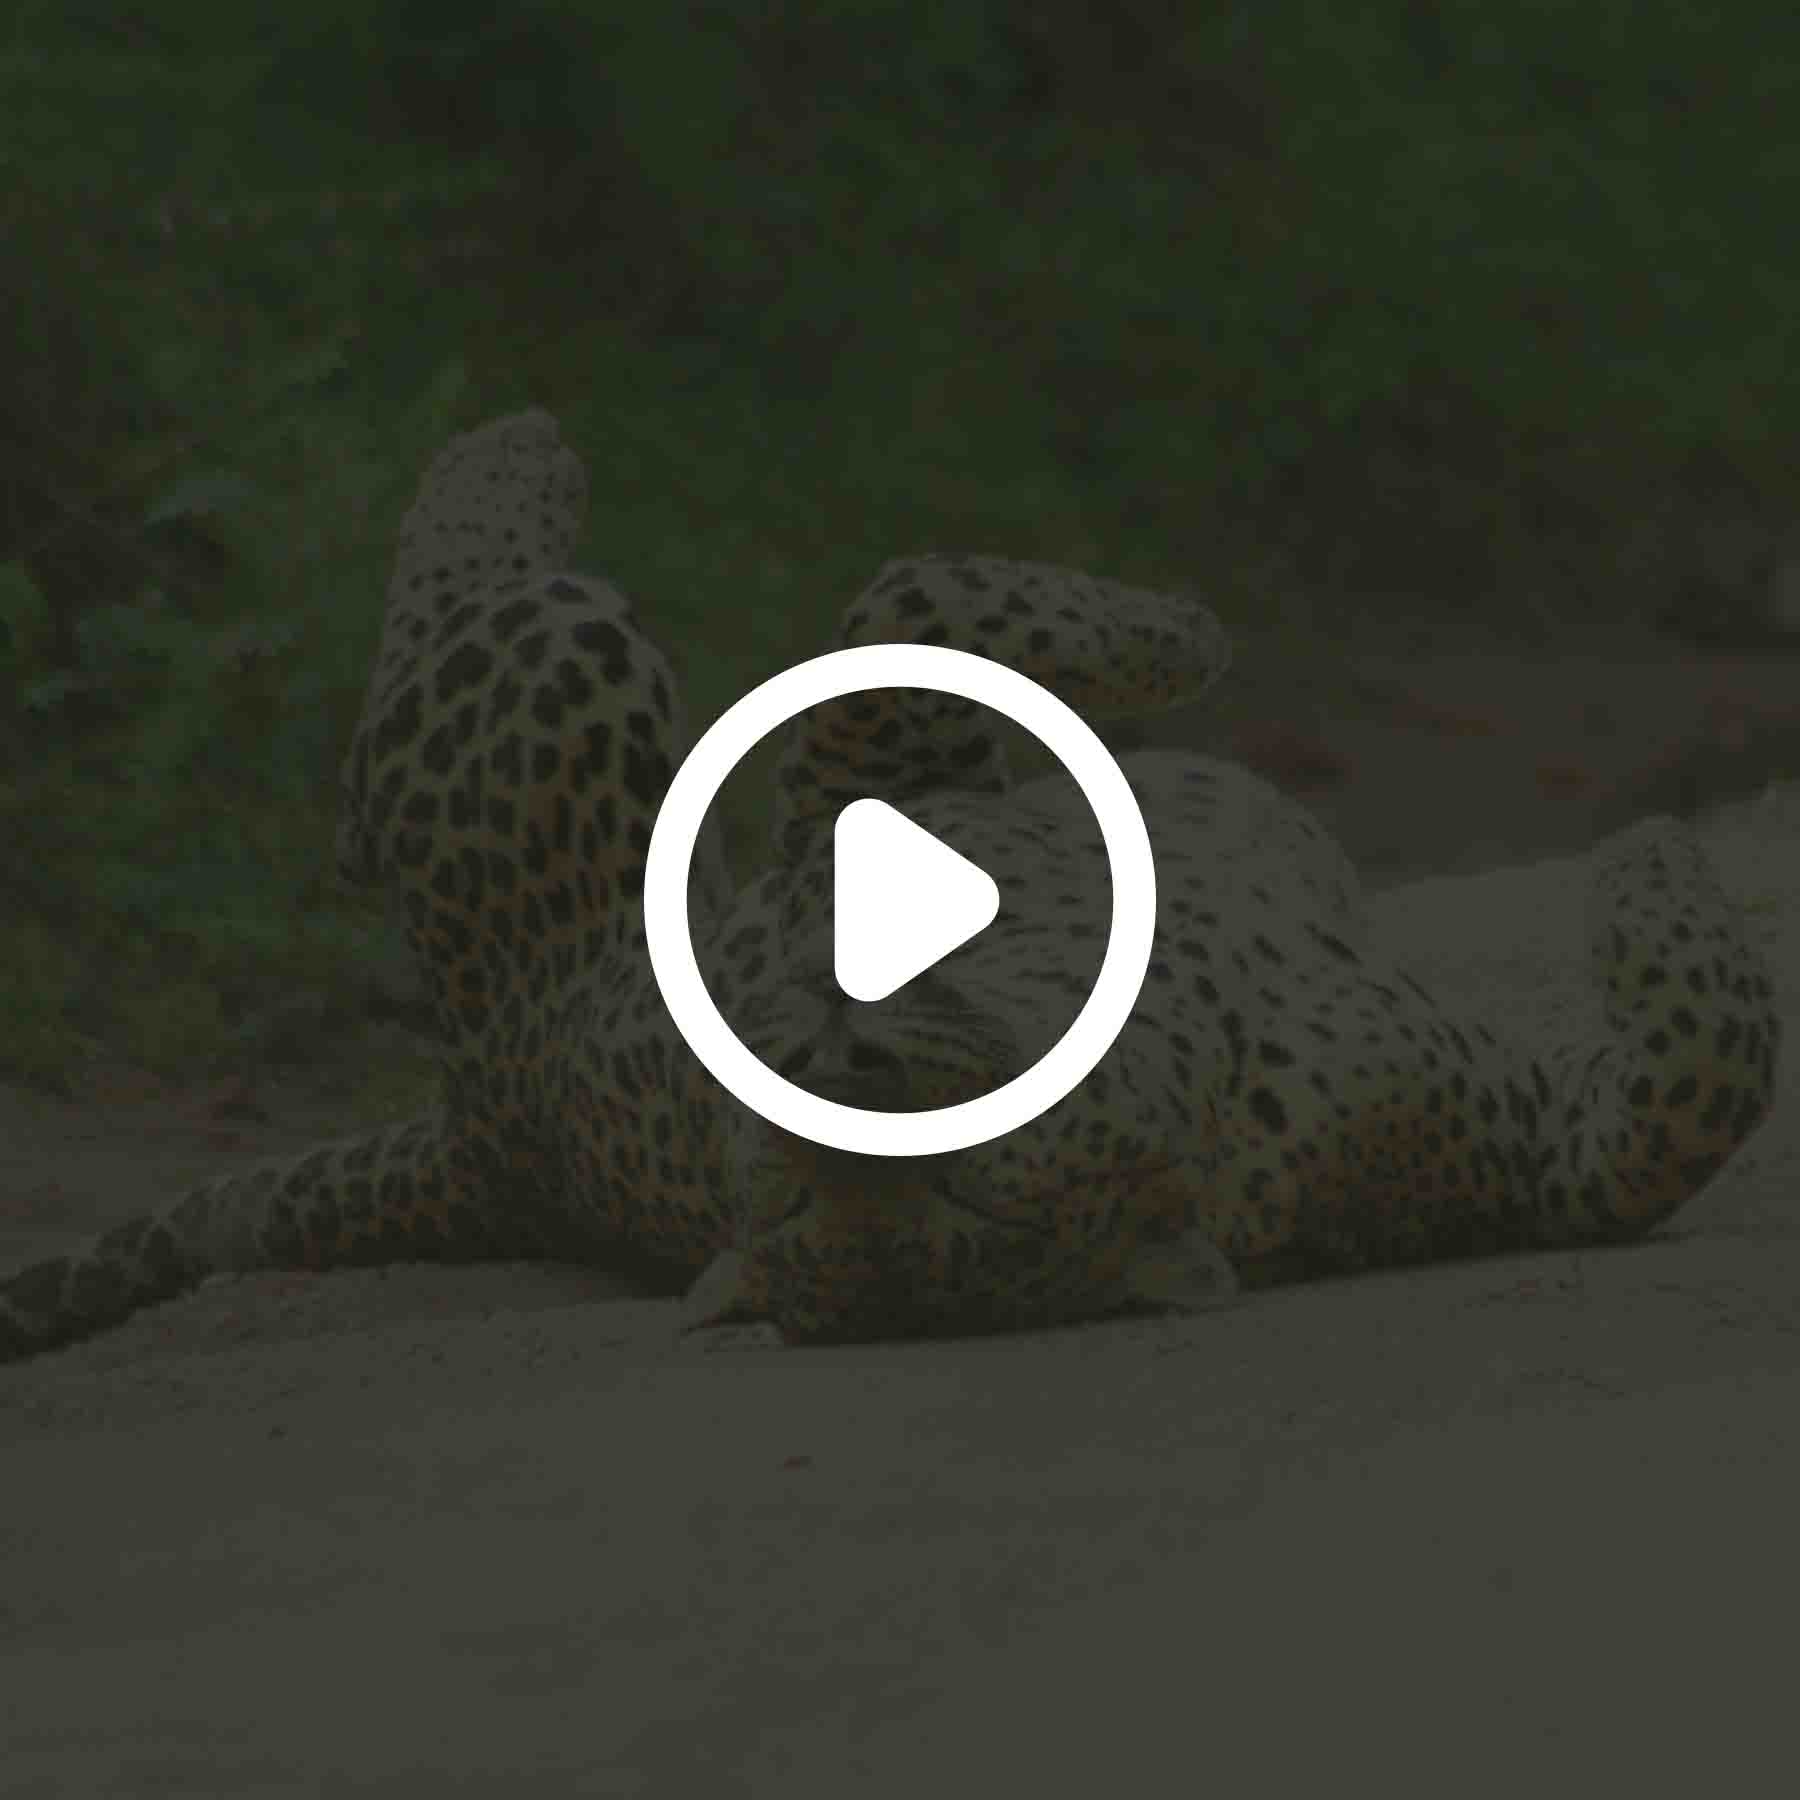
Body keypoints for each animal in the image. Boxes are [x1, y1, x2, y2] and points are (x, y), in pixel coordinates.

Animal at [0, 410, 1780, 1359]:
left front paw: (1651, 869)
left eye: (969, 1200)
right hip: (554, 724)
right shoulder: (853, 797)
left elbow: (1694, 1086)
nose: (825, 1068)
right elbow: (901, 612)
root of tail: (487, 1123)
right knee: (455, 633)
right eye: (791, 1192)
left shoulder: (1504, 1148)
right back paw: (516, 444)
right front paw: (1181, 637)